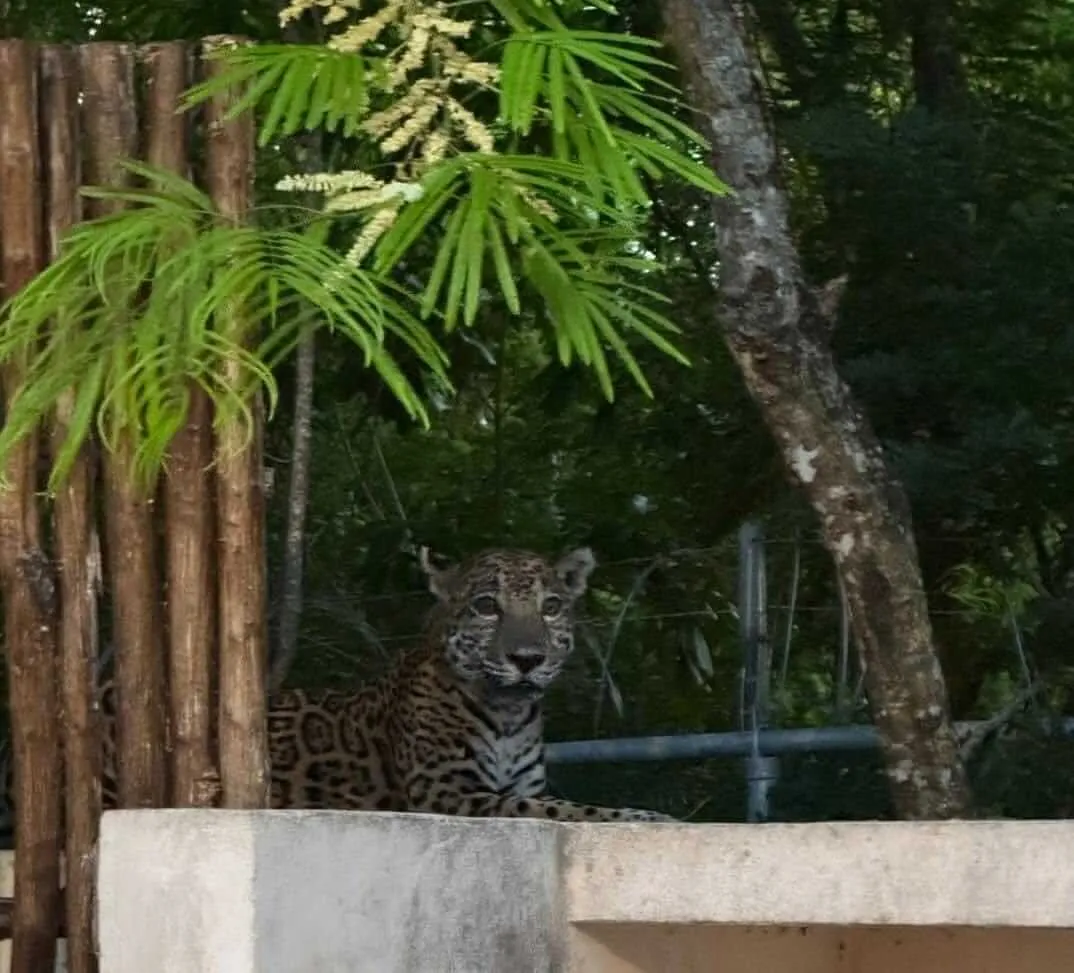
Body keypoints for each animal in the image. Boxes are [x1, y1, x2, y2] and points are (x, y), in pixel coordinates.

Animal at [0, 546, 672, 825]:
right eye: (487, 606)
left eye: (552, 607)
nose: (527, 658)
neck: (508, 714)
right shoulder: (448, 793)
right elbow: (562, 809)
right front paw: (643, 815)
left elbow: (552, 800)